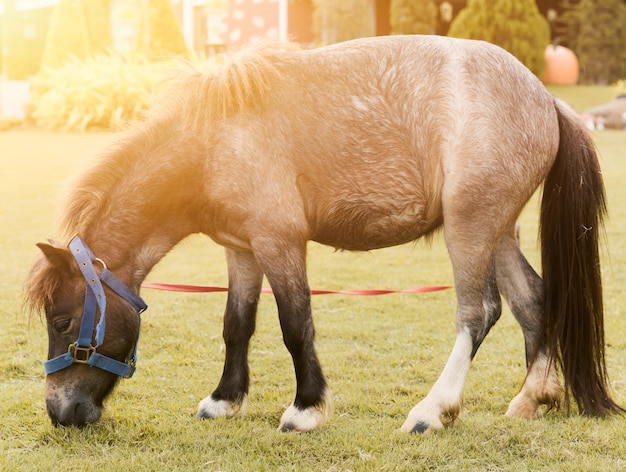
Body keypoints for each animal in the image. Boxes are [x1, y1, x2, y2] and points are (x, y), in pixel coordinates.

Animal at [24, 35, 620, 434]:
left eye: (63, 321)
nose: (61, 413)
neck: (215, 139)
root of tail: (546, 99)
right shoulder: (242, 249)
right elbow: (237, 325)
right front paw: (225, 400)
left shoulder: (280, 242)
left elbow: (295, 325)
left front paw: (306, 408)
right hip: (498, 232)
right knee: (532, 301)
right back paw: (530, 398)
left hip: (470, 227)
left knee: (480, 313)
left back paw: (433, 410)